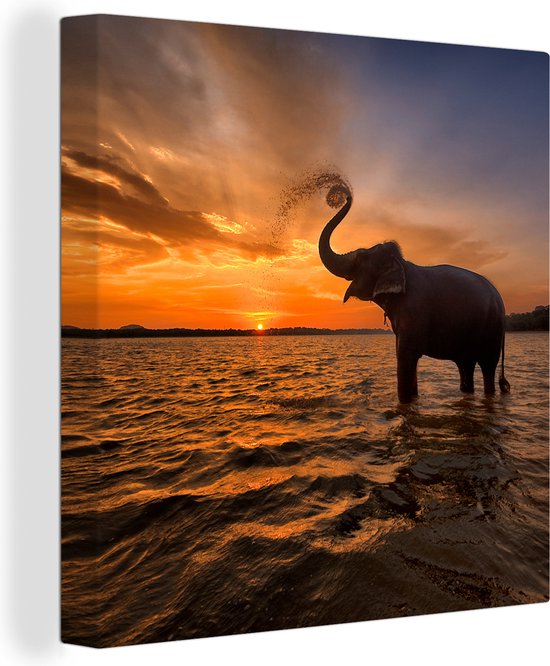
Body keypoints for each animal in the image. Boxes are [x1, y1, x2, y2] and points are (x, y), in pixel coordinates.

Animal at [318, 188, 510, 403]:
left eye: (360, 257)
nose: (344, 195)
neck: (402, 264)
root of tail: (500, 299)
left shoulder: (414, 311)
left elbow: (405, 357)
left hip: (492, 331)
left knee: (487, 367)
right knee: (465, 366)